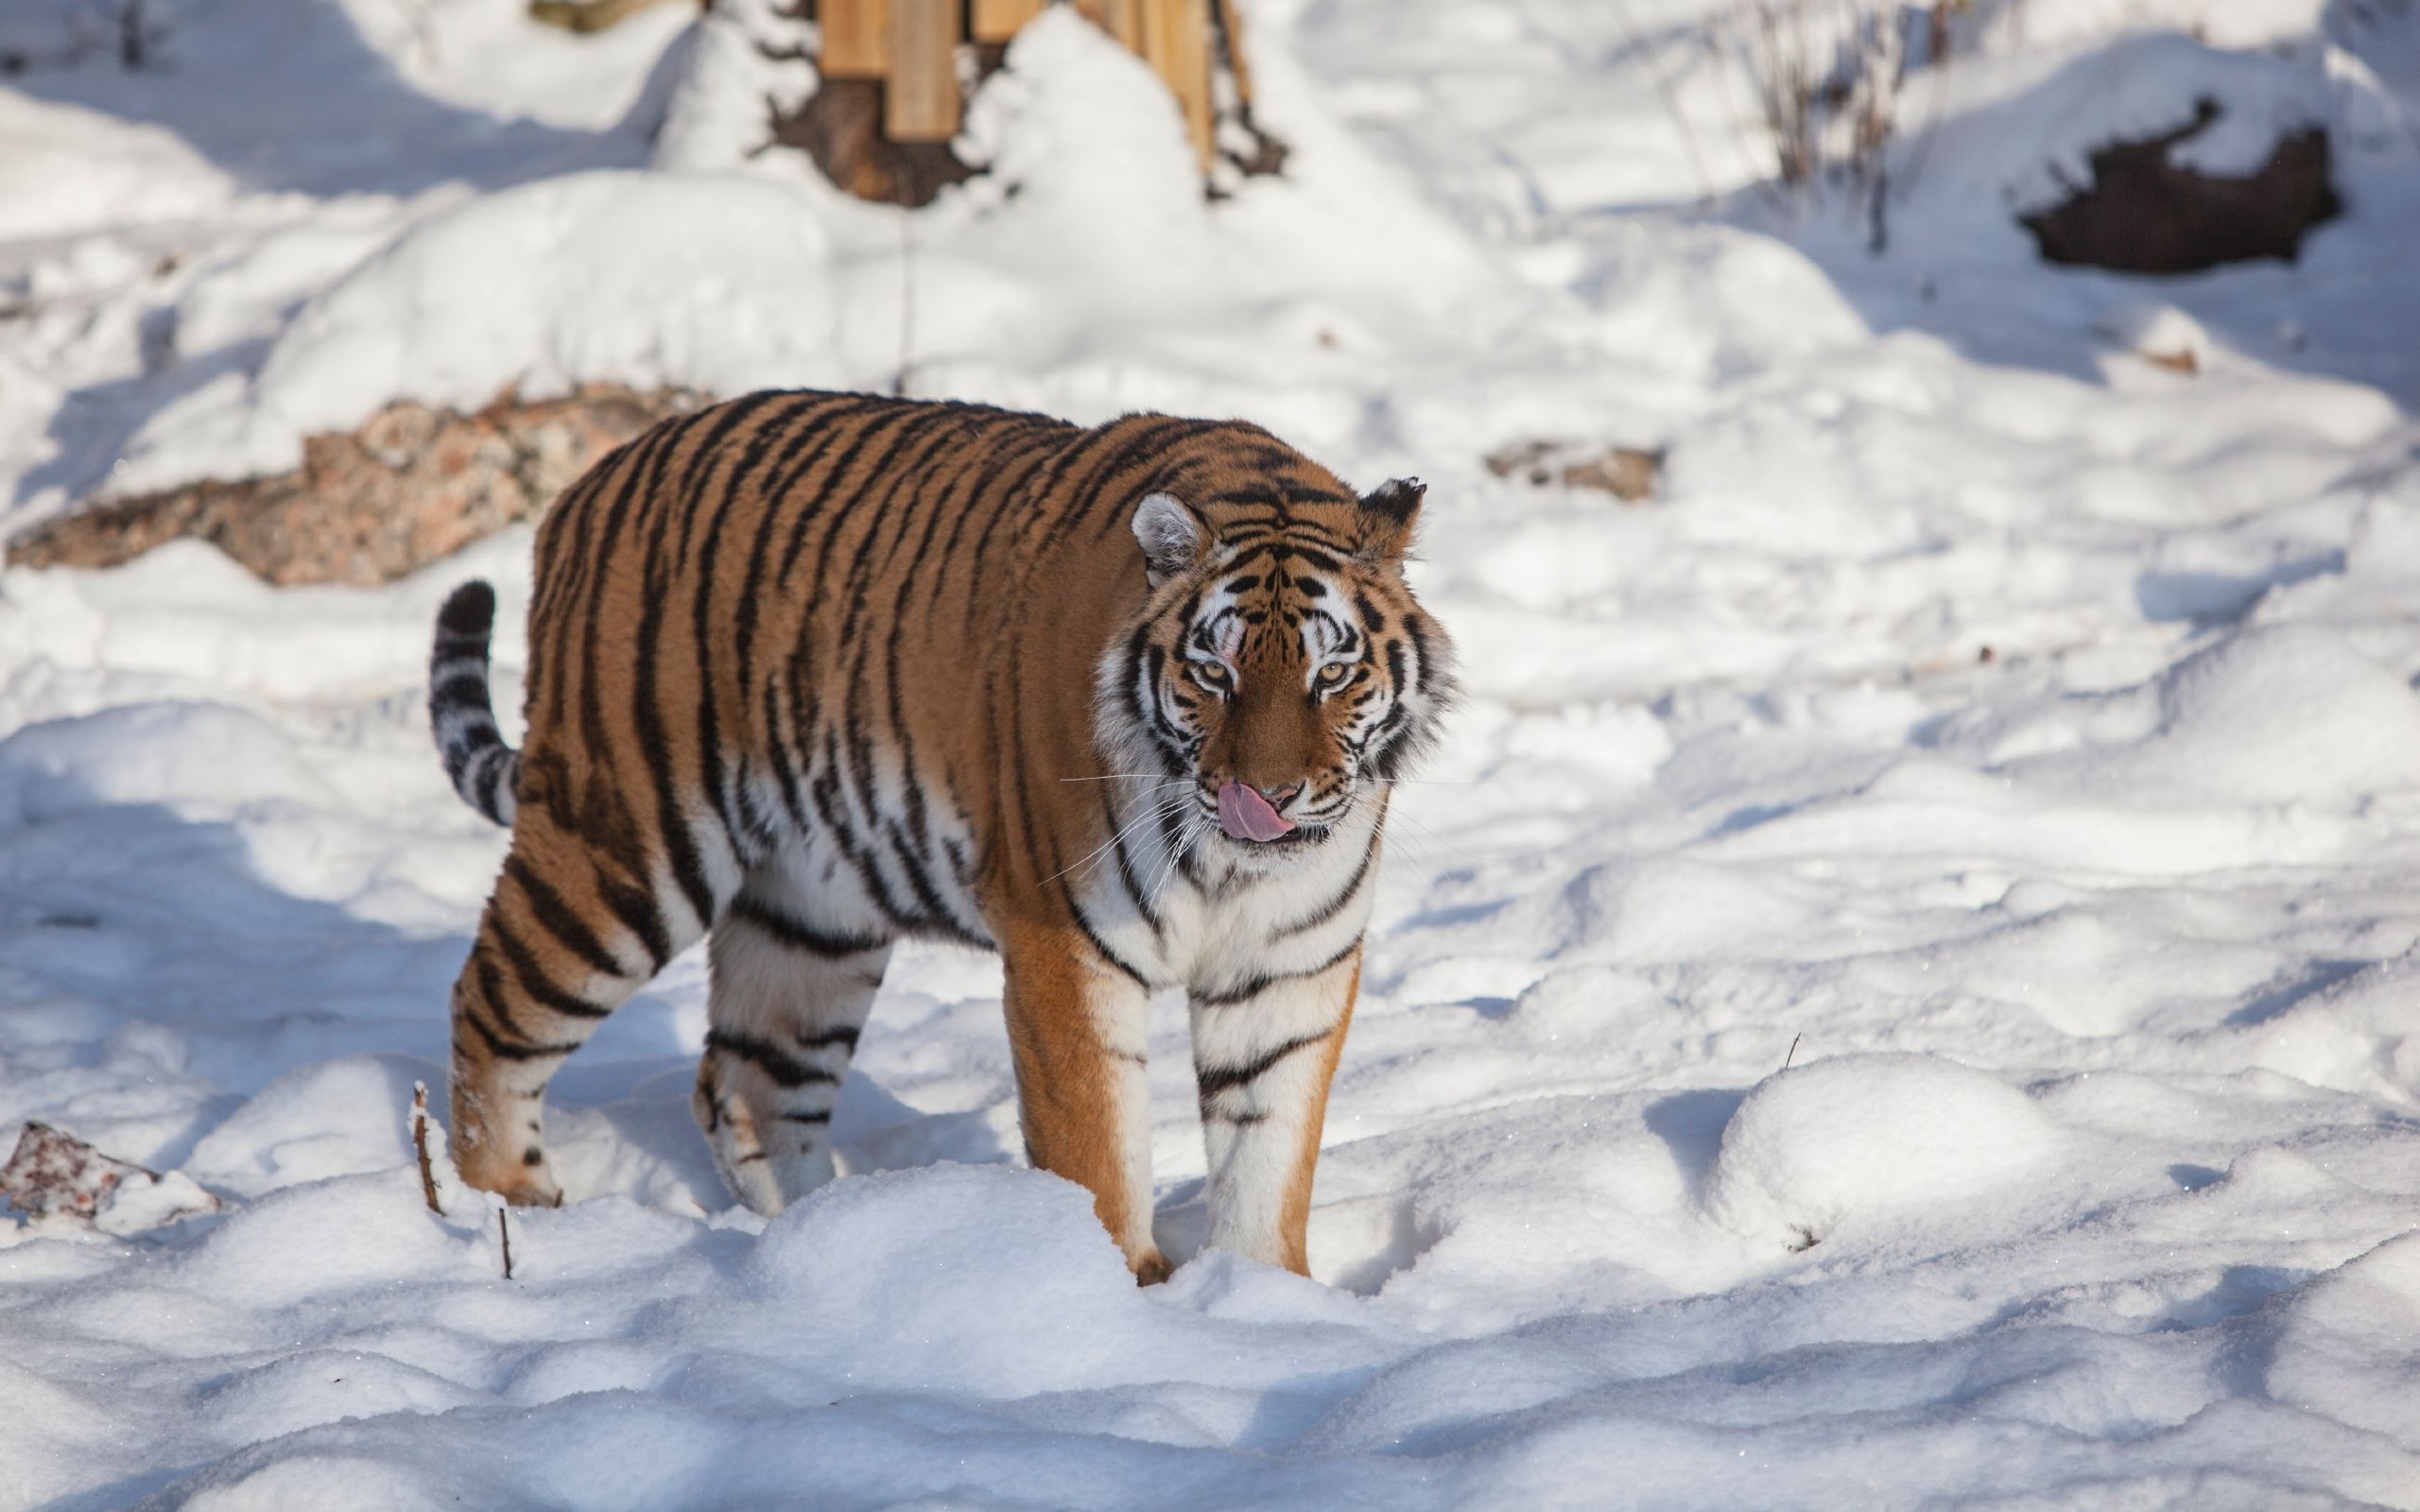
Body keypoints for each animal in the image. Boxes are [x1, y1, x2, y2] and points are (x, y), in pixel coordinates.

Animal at [427, 390, 1454, 1281]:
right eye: (1214, 672)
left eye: (1331, 675)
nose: (1263, 800)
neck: (1229, 870)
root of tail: (592, 481)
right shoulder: (1064, 946)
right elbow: (1096, 1148)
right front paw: (1123, 1294)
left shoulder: (1289, 966)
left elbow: (1265, 1158)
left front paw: (1263, 1300)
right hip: (621, 844)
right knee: (491, 1006)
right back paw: (509, 1213)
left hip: (812, 911)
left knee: (747, 1084)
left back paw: (827, 1239)